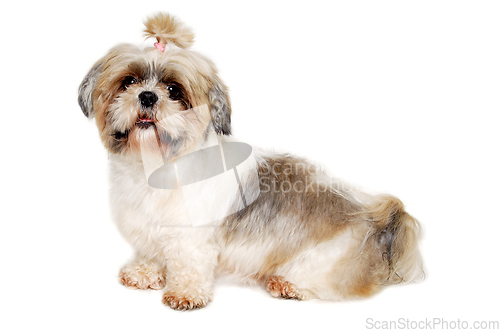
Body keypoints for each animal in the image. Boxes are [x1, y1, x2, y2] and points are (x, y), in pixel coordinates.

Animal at [78, 12, 422, 308]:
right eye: (128, 82)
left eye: (174, 90)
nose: (148, 96)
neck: (156, 164)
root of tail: (376, 220)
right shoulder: (147, 227)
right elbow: (151, 252)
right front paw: (144, 272)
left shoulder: (191, 237)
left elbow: (189, 261)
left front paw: (185, 293)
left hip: (324, 257)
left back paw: (288, 285)